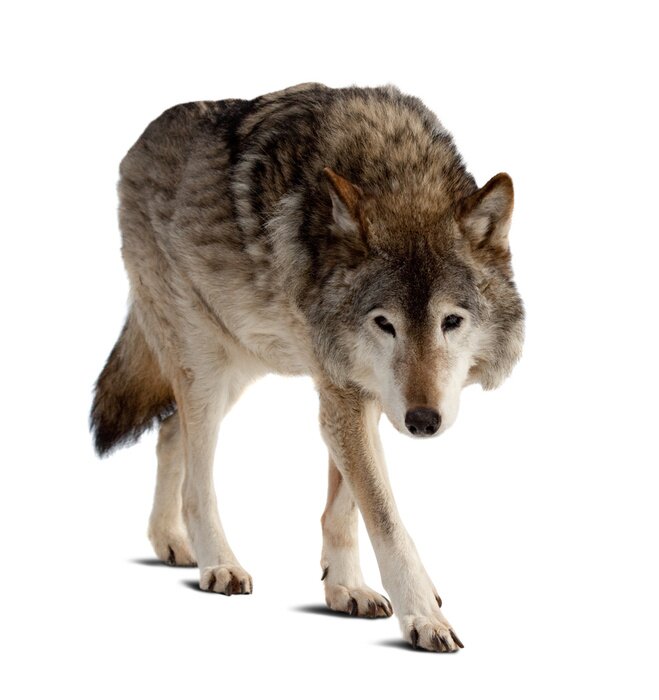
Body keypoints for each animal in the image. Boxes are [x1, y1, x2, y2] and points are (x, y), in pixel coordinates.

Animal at [90, 83, 524, 652]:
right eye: (385, 324)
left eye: (451, 321)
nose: (422, 422)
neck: (396, 170)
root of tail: (137, 143)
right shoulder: (344, 393)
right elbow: (384, 515)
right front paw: (424, 616)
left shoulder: (358, 394)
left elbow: (347, 506)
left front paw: (346, 588)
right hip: (203, 364)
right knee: (197, 477)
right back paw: (218, 564)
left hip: (240, 363)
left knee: (167, 432)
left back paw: (172, 543)